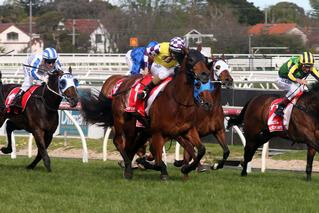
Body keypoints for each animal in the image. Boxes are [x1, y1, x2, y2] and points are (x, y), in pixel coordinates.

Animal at [81, 48, 212, 180]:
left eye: (204, 59)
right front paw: (157, 168)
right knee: (119, 142)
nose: (205, 74)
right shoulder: (158, 133)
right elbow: (158, 161)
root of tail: (120, 85)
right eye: (191, 59)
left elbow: (200, 149)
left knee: (130, 147)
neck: (178, 101)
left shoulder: (187, 130)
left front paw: (189, 168)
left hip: (137, 129)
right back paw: (129, 167)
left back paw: (128, 167)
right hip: (122, 121)